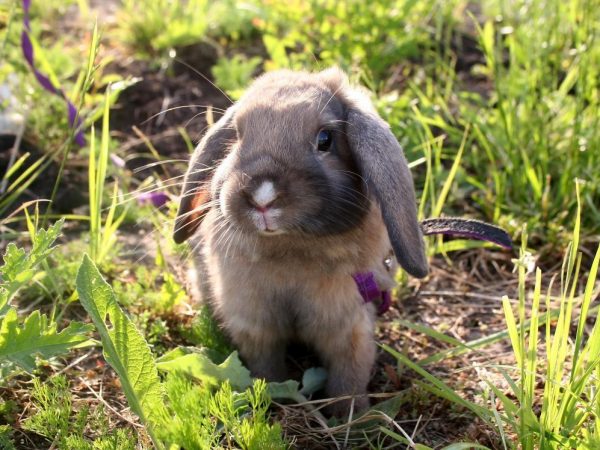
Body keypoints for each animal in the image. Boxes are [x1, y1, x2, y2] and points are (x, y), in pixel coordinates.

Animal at [171, 67, 428, 414]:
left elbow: (350, 371)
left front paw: (352, 415)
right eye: (237, 134)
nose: (262, 197)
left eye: (325, 139)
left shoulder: (347, 324)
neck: (291, 247)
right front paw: (270, 392)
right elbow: (265, 363)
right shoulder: (253, 320)